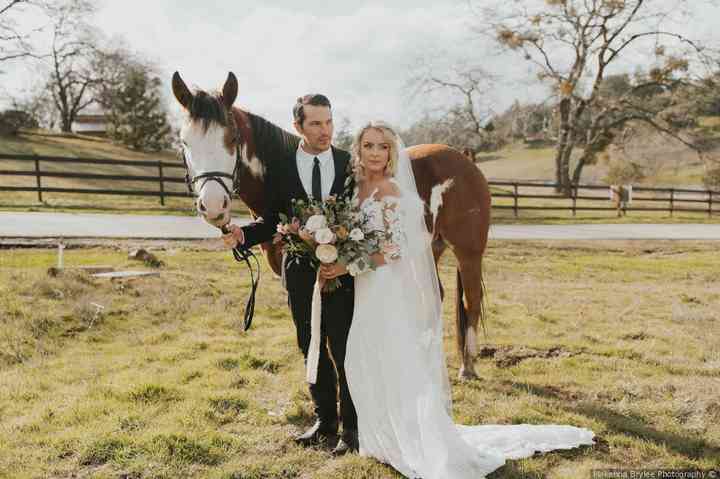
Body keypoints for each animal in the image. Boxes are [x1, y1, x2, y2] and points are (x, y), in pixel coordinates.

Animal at [172, 71, 492, 380]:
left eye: (232, 138)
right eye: (185, 142)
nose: (214, 206)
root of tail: (465, 161)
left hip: (468, 252)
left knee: (471, 302)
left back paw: (467, 367)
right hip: (427, 251)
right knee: (434, 297)